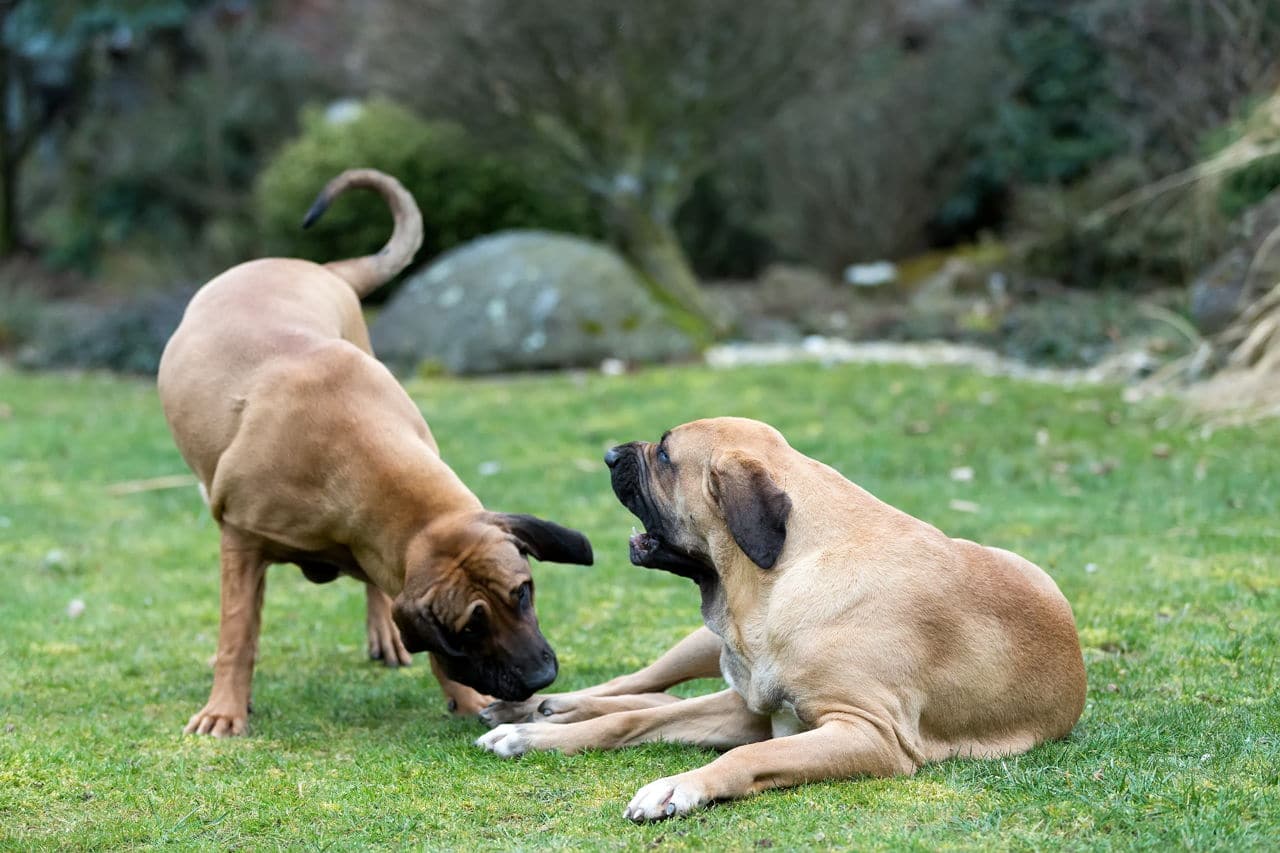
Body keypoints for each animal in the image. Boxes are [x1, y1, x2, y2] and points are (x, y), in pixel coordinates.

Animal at [160, 167, 593, 737]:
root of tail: (321, 269)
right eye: (469, 628)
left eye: (523, 592)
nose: (542, 678)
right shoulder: (241, 541)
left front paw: (465, 698)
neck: (350, 448)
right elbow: (238, 634)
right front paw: (225, 709)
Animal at [476, 414, 1085, 819]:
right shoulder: (755, 706)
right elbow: (629, 721)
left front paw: (679, 786)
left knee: (654, 699)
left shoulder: (867, 734)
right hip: (701, 646)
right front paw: (529, 736)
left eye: (666, 457)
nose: (607, 455)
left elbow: (745, 752)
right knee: (637, 687)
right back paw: (535, 708)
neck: (788, 570)